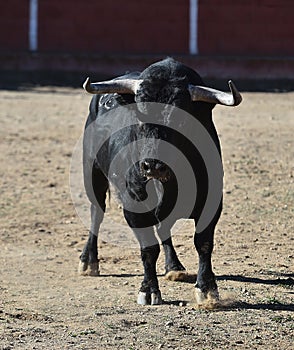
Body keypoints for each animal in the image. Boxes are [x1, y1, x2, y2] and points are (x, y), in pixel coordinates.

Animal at [78, 58, 241, 306]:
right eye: (140, 115)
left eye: (182, 119)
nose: (152, 166)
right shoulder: (133, 207)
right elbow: (148, 248)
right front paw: (148, 290)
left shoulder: (212, 202)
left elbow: (203, 242)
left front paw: (207, 289)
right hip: (92, 171)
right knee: (97, 212)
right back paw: (89, 261)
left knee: (164, 227)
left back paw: (174, 267)